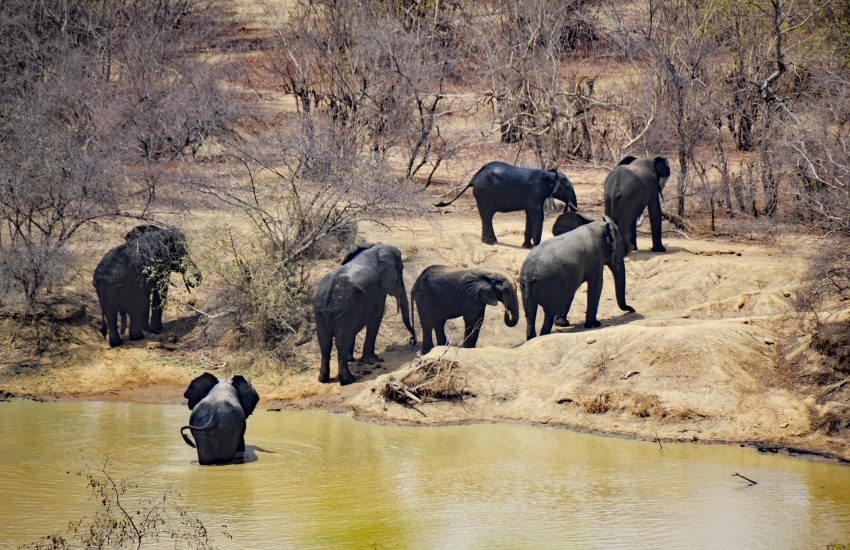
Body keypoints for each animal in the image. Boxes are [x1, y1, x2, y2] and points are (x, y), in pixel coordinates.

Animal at [314, 243, 416, 385]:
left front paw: (352, 359)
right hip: (344, 309)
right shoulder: (378, 291)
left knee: (325, 343)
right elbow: (376, 318)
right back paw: (348, 380)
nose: (412, 341)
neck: (374, 249)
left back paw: (323, 380)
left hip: (322, 311)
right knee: (341, 341)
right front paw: (373, 360)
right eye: (401, 270)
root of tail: (330, 289)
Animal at [435, 161, 578, 248]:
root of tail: (473, 179)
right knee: (487, 215)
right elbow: (537, 214)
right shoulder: (536, 193)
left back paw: (491, 241)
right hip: (485, 193)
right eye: (568, 188)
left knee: (486, 216)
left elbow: (529, 215)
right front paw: (535, 247)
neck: (551, 174)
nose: (572, 208)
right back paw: (490, 242)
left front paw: (527, 247)